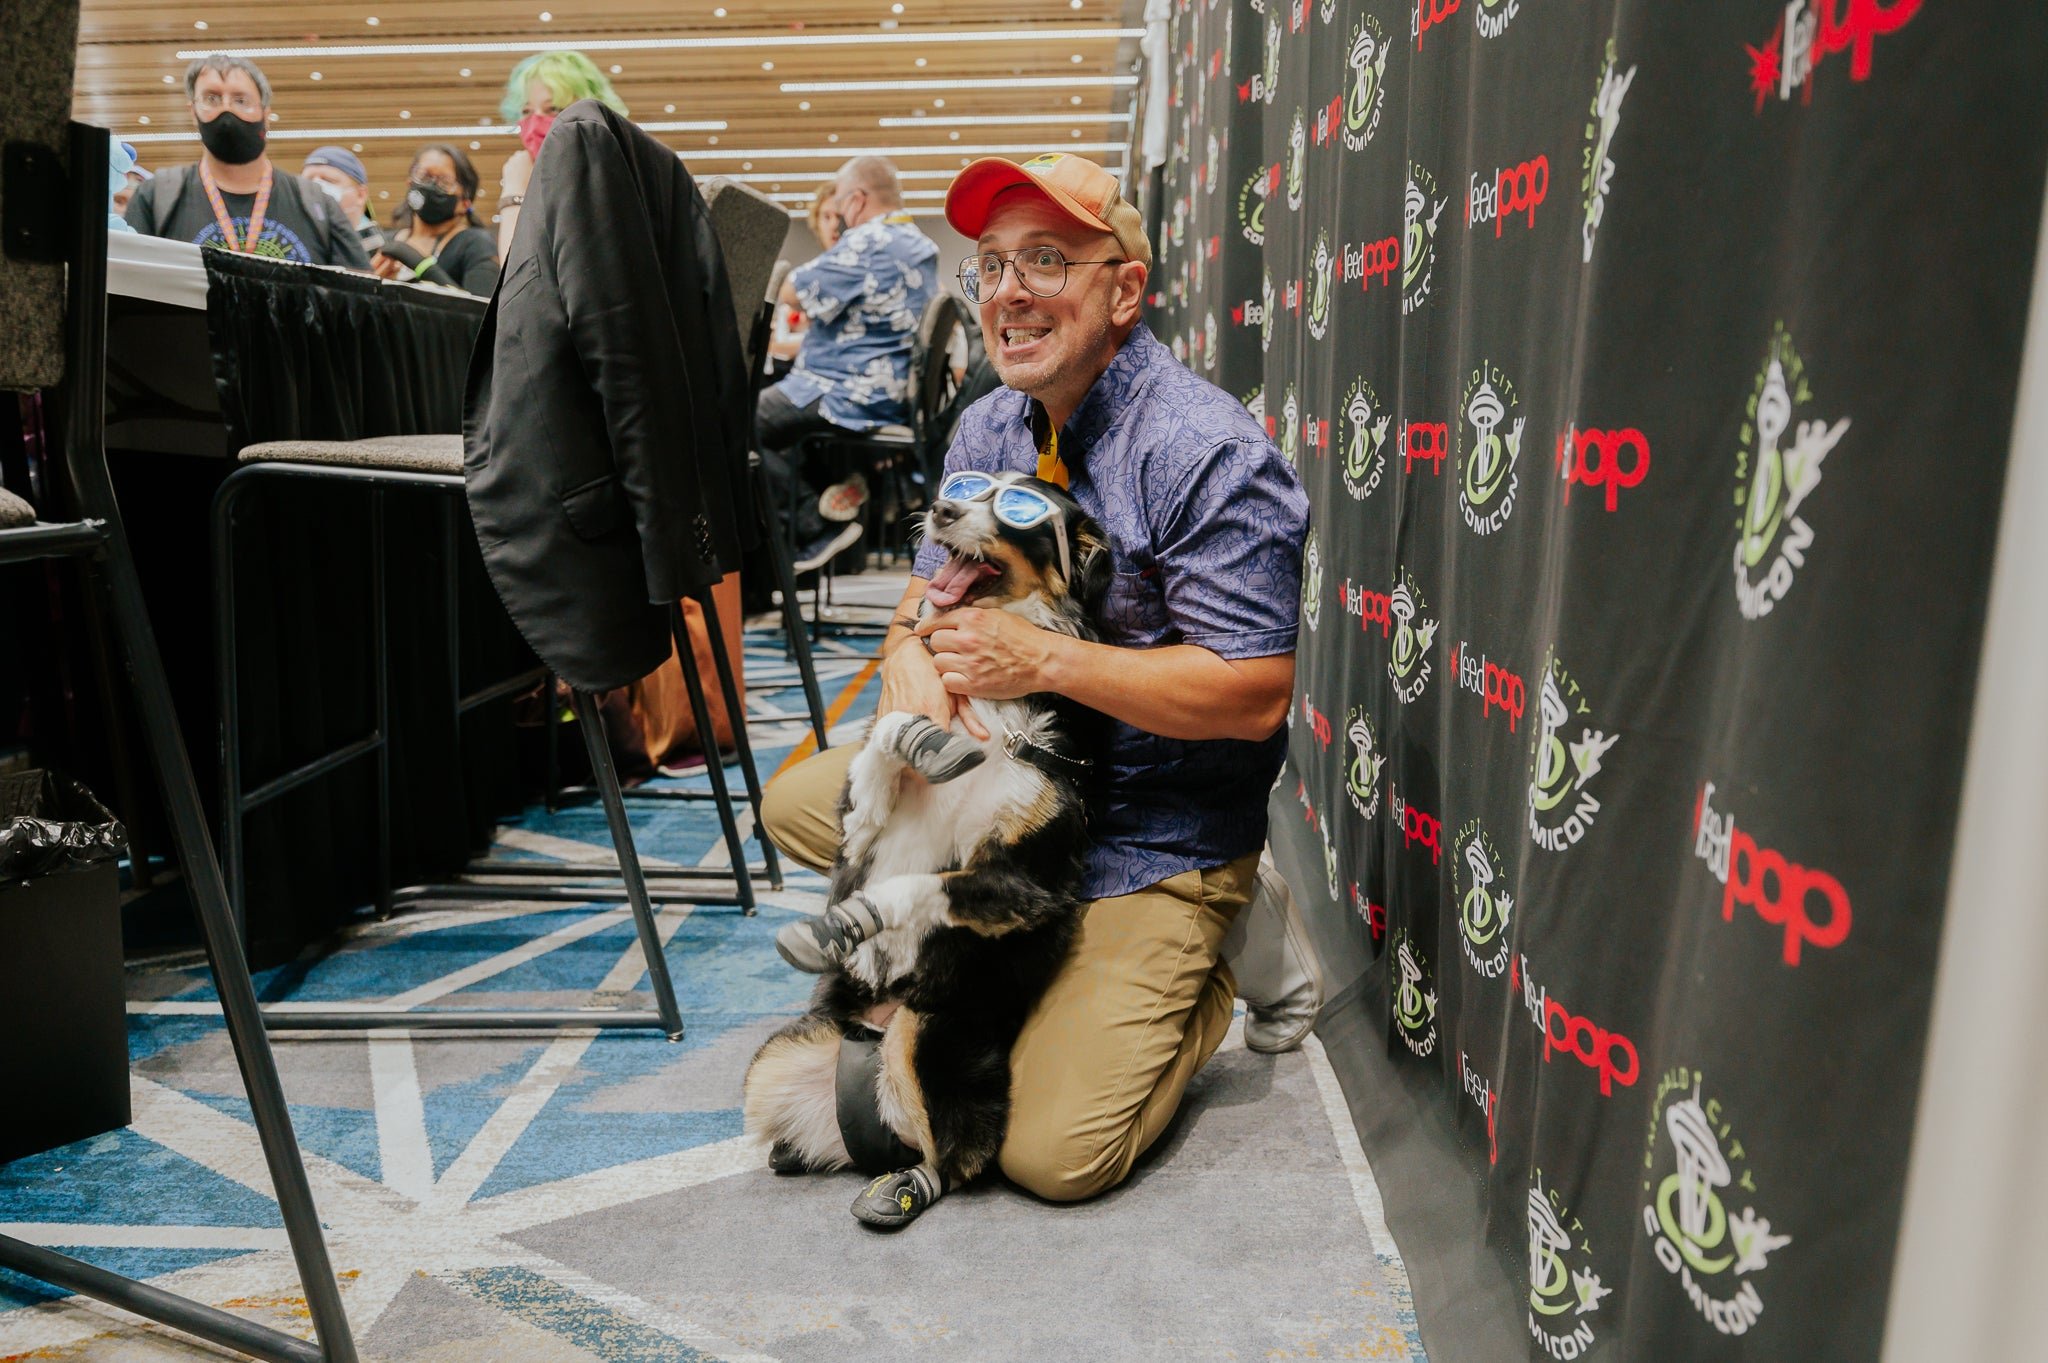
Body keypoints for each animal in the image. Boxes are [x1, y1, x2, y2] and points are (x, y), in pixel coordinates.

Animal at [745, 472, 1114, 1227]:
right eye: (973, 485)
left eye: (1019, 510)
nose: (942, 509)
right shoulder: (859, 827)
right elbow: (892, 732)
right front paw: (927, 740)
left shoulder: (1023, 884)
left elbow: (916, 888)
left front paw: (843, 923)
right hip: (773, 1056)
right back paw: (799, 1152)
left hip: (929, 1039)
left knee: (952, 1158)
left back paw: (901, 1188)